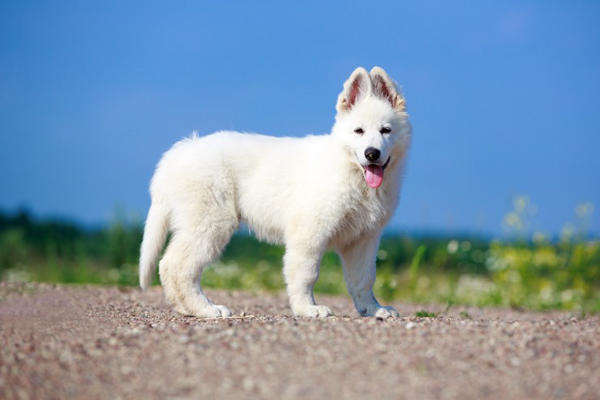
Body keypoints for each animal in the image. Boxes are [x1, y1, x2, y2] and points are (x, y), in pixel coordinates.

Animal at [140, 66, 410, 318]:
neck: (351, 171)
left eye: (386, 130)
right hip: (210, 223)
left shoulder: (364, 239)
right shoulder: (309, 234)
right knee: (176, 266)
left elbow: (364, 279)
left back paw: (186, 308)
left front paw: (373, 309)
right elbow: (306, 274)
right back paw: (205, 309)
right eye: (359, 131)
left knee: (169, 266)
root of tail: (180, 152)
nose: (371, 153)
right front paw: (307, 309)